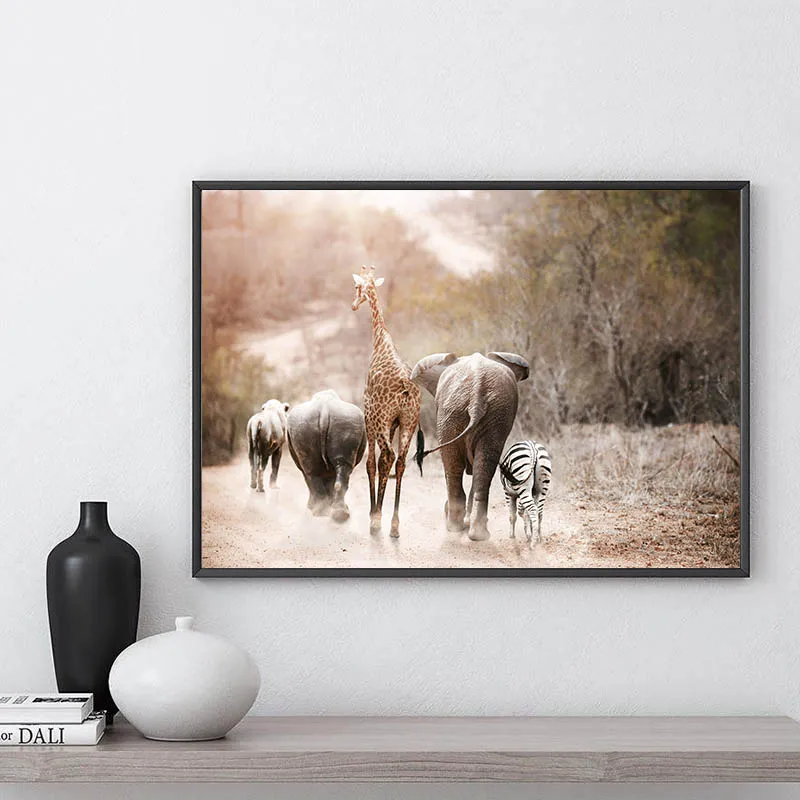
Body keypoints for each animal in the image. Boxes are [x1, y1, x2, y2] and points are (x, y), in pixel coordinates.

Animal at [286, 390, 367, 522]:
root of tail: (324, 410)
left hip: (315, 424)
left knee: (311, 472)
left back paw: (321, 513)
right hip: (343, 422)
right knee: (335, 468)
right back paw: (339, 514)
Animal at [411, 352, 529, 541]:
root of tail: (477, 395)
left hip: (456, 413)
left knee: (457, 467)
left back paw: (457, 527)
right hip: (477, 414)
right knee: (481, 467)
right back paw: (475, 533)